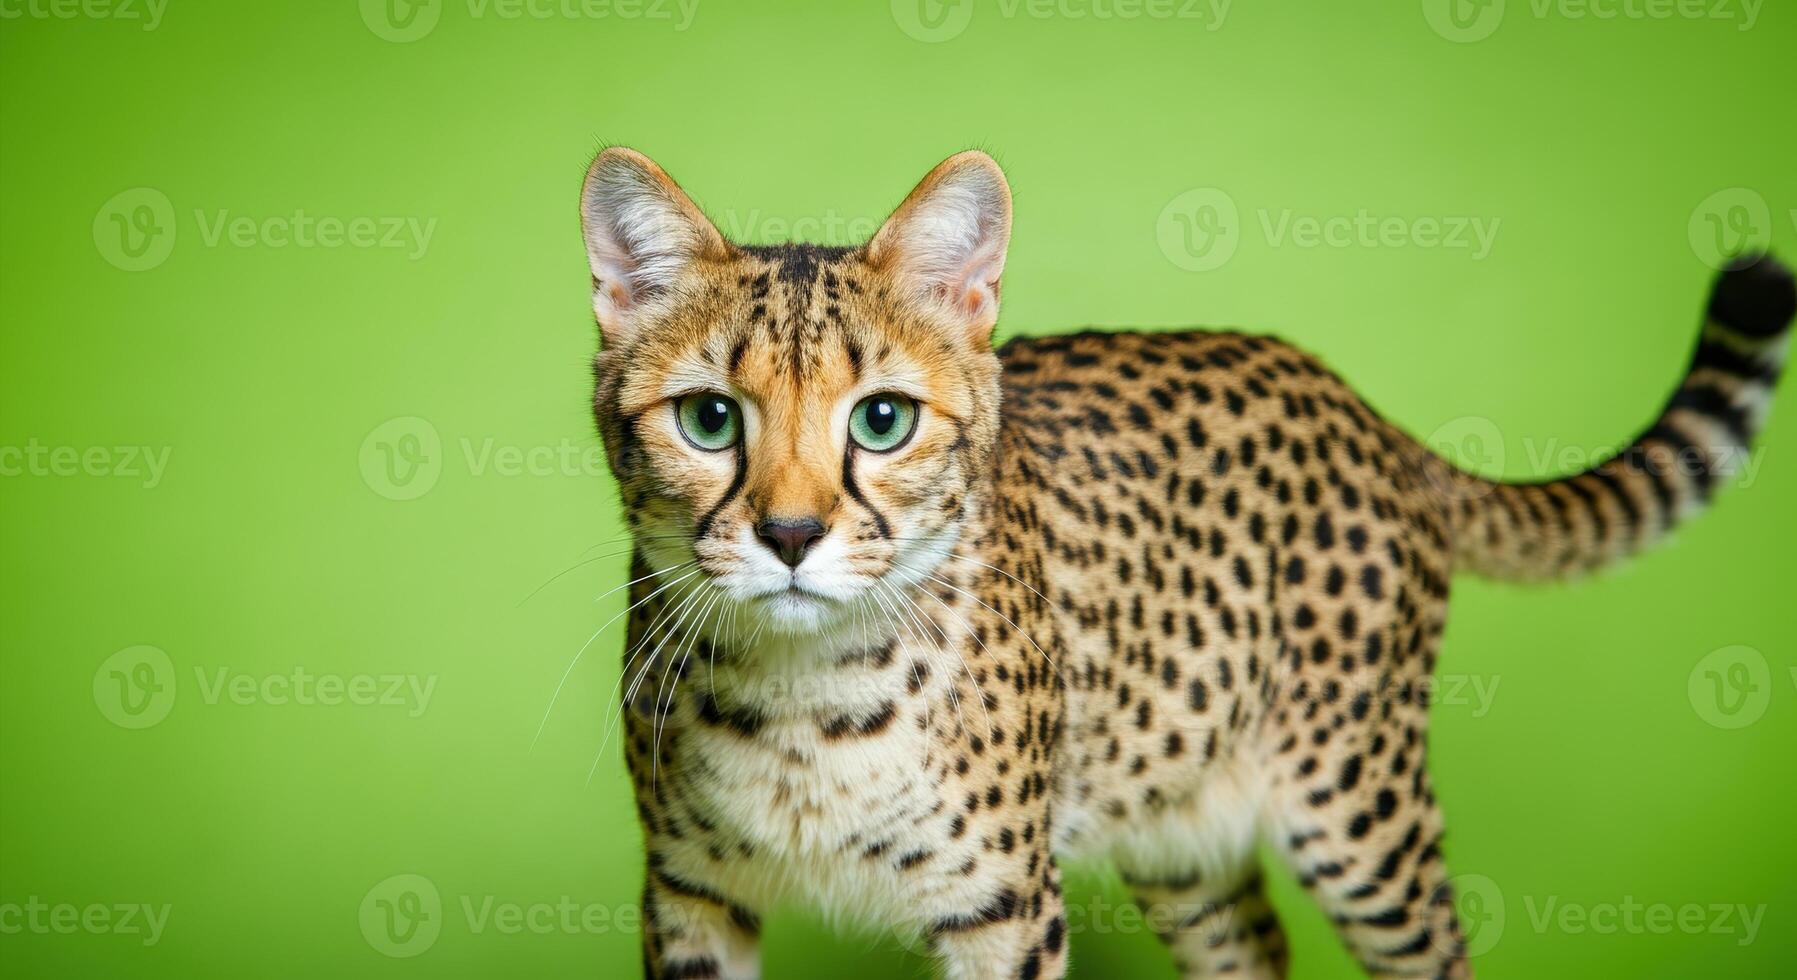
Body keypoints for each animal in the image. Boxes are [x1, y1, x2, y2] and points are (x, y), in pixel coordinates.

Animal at [578, 147, 1797, 978]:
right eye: (708, 419)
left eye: (881, 420)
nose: (790, 536)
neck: (801, 689)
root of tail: (1355, 401)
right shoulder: (688, 897)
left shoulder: (1001, 905)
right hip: (1179, 813)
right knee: (1254, 947)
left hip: (1356, 812)